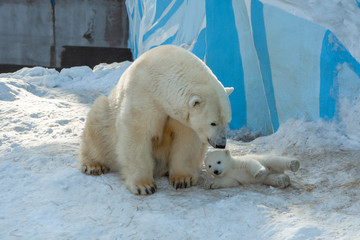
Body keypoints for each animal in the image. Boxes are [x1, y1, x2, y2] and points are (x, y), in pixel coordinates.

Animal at [79, 45, 233, 195]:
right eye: (213, 123)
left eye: (227, 122)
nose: (221, 144)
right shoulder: (142, 96)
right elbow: (136, 134)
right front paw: (144, 186)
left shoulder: (180, 116)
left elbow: (186, 138)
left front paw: (183, 179)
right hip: (107, 112)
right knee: (98, 123)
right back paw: (93, 165)